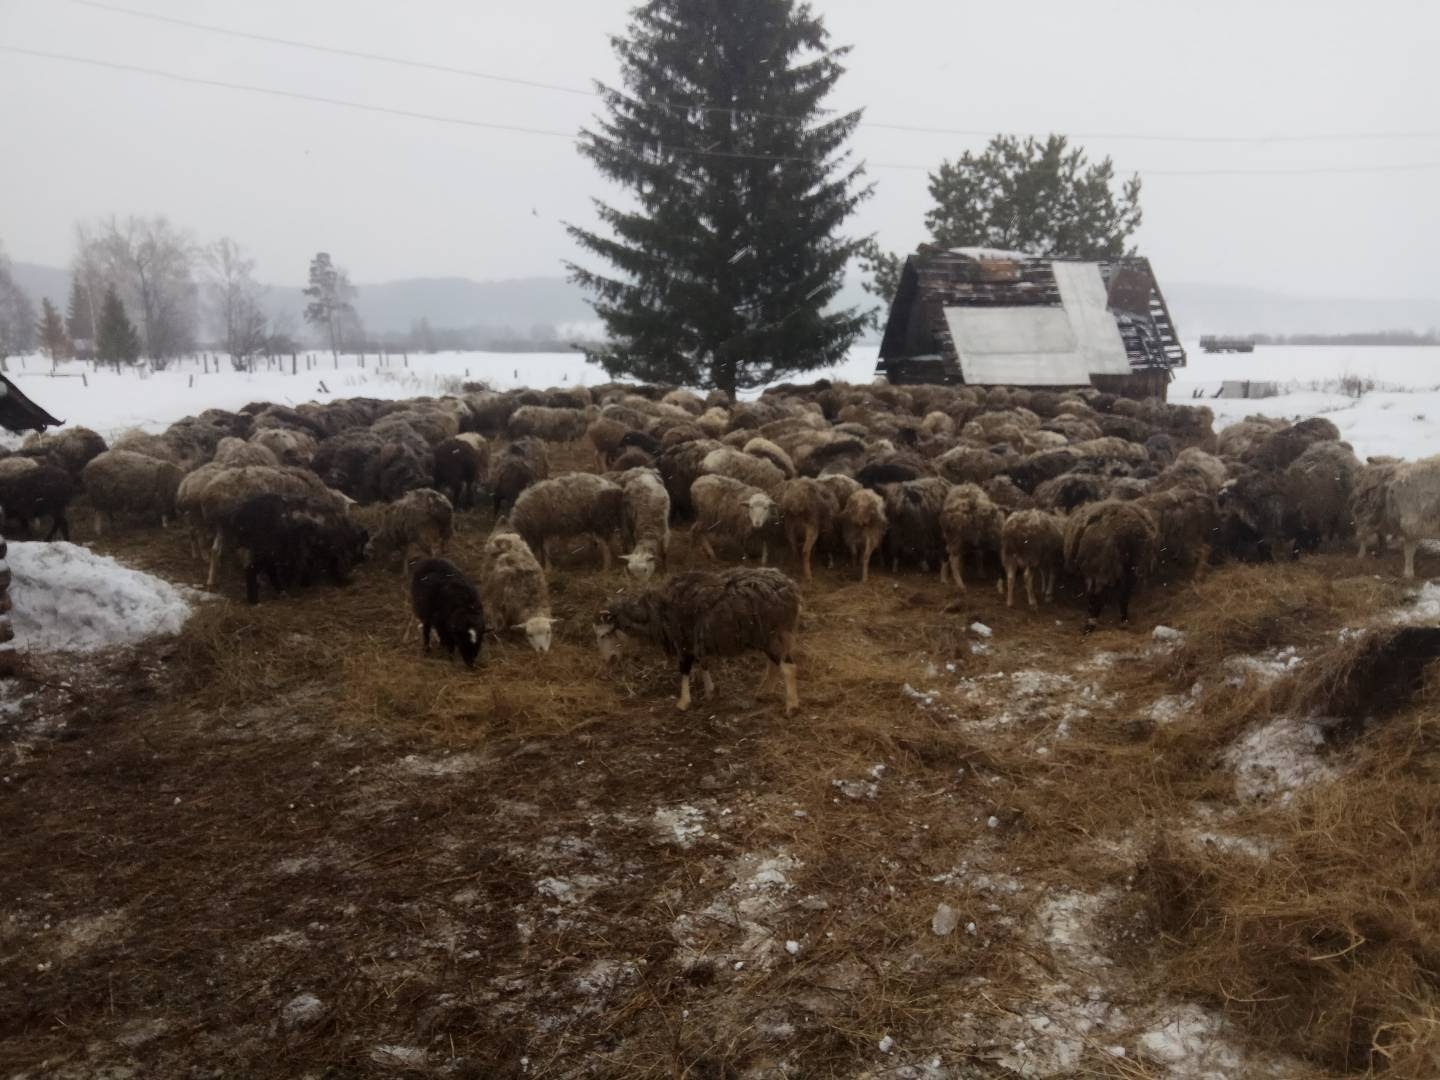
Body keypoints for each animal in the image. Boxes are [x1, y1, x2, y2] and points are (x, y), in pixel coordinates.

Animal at [227, 495, 368, 604]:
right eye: (362, 544)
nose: (362, 559)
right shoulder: (332, 549)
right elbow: (333, 565)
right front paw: (343, 581)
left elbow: (308, 566)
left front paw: (305, 583)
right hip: (266, 550)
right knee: (253, 570)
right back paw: (255, 600)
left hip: (269, 552)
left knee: (268, 571)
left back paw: (281, 592)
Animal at [590, 567, 806, 720]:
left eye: (605, 634)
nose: (608, 659)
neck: (653, 613)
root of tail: (792, 589)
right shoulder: (698, 640)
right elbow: (703, 663)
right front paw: (710, 691)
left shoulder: (683, 641)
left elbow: (685, 669)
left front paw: (683, 702)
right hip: (766, 637)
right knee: (774, 665)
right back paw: (763, 693)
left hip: (775, 634)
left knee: (788, 667)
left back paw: (791, 707)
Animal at [1065, 501, 1163, 633]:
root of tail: (1125, 531)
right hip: (1134, 564)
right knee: (1125, 593)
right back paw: (1124, 620)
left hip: (1101, 566)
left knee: (1097, 596)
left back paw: (1090, 625)